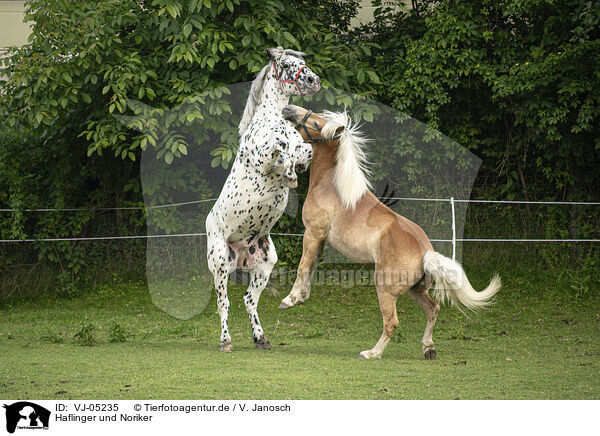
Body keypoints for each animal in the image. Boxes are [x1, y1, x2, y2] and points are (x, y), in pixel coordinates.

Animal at [205, 46, 322, 350]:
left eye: (302, 62)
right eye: (287, 64)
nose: (314, 81)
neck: (270, 119)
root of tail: (240, 252)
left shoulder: (302, 152)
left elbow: (303, 151)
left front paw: (293, 173)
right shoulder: (263, 158)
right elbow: (281, 148)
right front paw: (288, 175)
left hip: (264, 266)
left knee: (249, 300)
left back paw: (261, 338)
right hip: (220, 264)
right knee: (224, 304)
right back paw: (226, 341)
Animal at [282, 104, 502, 360]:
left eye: (317, 123)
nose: (289, 109)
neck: (332, 188)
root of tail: (426, 252)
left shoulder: (313, 233)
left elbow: (302, 267)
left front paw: (289, 300)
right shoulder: (321, 239)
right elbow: (311, 268)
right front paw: (301, 297)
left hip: (385, 290)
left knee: (392, 322)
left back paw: (371, 353)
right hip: (416, 290)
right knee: (433, 308)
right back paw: (428, 348)